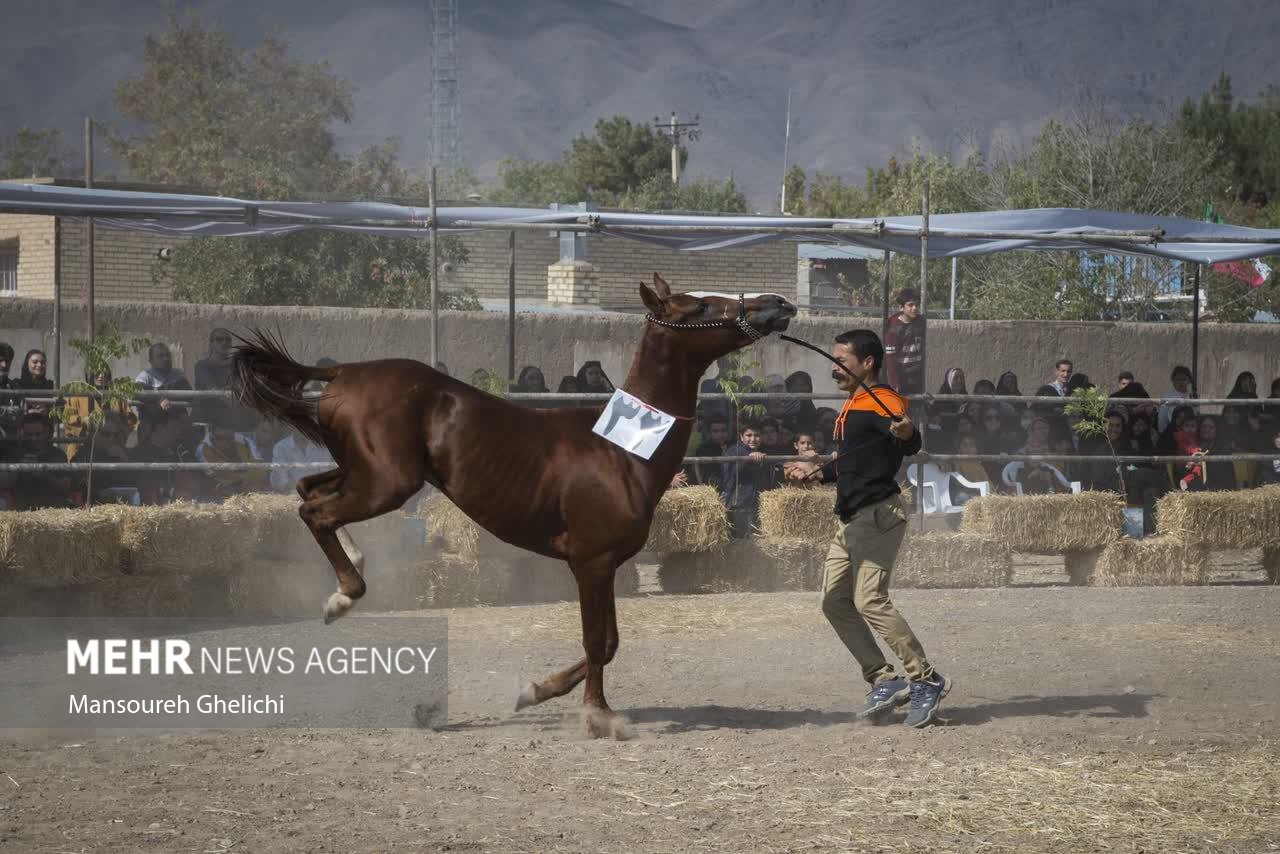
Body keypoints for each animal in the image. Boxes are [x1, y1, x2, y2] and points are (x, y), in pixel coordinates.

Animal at [227, 273, 788, 737]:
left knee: (308, 490)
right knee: (314, 511)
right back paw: (344, 595)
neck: (623, 447)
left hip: (361, 473)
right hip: (386, 484)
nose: (776, 305)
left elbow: (607, 642)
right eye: (700, 305)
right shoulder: (591, 562)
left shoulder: (605, 564)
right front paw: (598, 715)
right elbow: (597, 641)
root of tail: (344, 373)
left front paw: (535, 692)